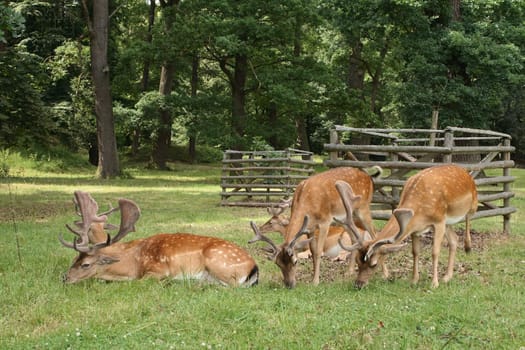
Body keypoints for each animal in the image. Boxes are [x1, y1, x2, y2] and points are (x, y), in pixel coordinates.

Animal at [59, 191, 258, 288]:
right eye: (74, 259)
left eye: (86, 264)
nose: (65, 278)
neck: (134, 262)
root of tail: (254, 267)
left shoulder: (159, 269)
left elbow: (137, 282)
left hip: (218, 261)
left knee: (233, 287)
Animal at [248, 166, 378, 288]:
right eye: (278, 264)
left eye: (295, 262)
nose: (289, 284)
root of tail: (369, 178)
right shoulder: (310, 228)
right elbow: (313, 250)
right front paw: (313, 277)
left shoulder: (325, 222)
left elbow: (318, 252)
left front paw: (315, 282)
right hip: (345, 219)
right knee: (355, 238)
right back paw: (349, 272)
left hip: (363, 208)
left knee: (374, 234)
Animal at [338, 164, 476, 290]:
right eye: (357, 261)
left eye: (374, 264)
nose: (358, 284)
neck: (419, 210)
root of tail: (466, 172)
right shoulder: (415, 229)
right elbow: (415, 252)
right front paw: (414, 280)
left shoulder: (439, 221)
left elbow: (435, 252)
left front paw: (434, 284)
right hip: (448, 224)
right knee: (454, 239)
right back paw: (447, 277)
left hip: (471, 204)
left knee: (468, 218)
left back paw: (468, 246)